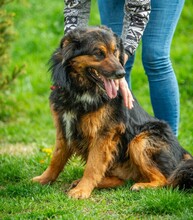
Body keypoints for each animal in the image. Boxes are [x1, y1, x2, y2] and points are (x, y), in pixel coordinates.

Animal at [32, 26, 193, 199]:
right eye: (98, 53)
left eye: (115, 51)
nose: (121, 74)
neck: (81, 90)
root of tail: (184, 154)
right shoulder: (64, 128)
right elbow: (56, 158)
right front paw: (44, 179)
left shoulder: (104, 133)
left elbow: (93, 166)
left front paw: (82, 190)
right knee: (122, 180)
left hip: (140, 140)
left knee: (165, 180)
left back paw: (142, 186)